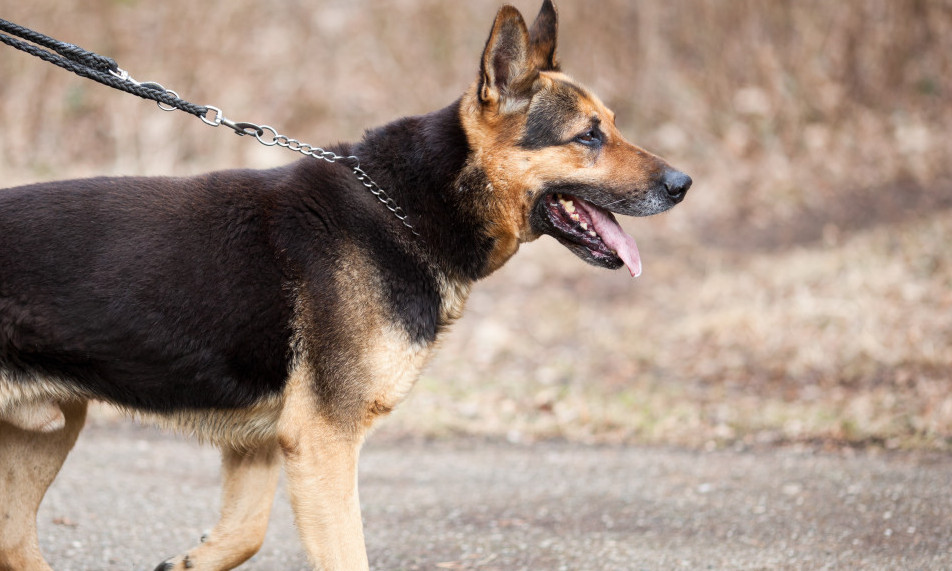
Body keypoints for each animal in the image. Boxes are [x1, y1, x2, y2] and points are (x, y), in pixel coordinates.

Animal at [0, 2, 684, 568]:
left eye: (612, 125)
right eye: (588, 135)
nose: (683, 184)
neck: (405, 208)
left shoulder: (265, 442)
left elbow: (244, 533)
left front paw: (189, 561)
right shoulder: (322, 442)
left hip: (51, 428)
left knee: (16, 543)